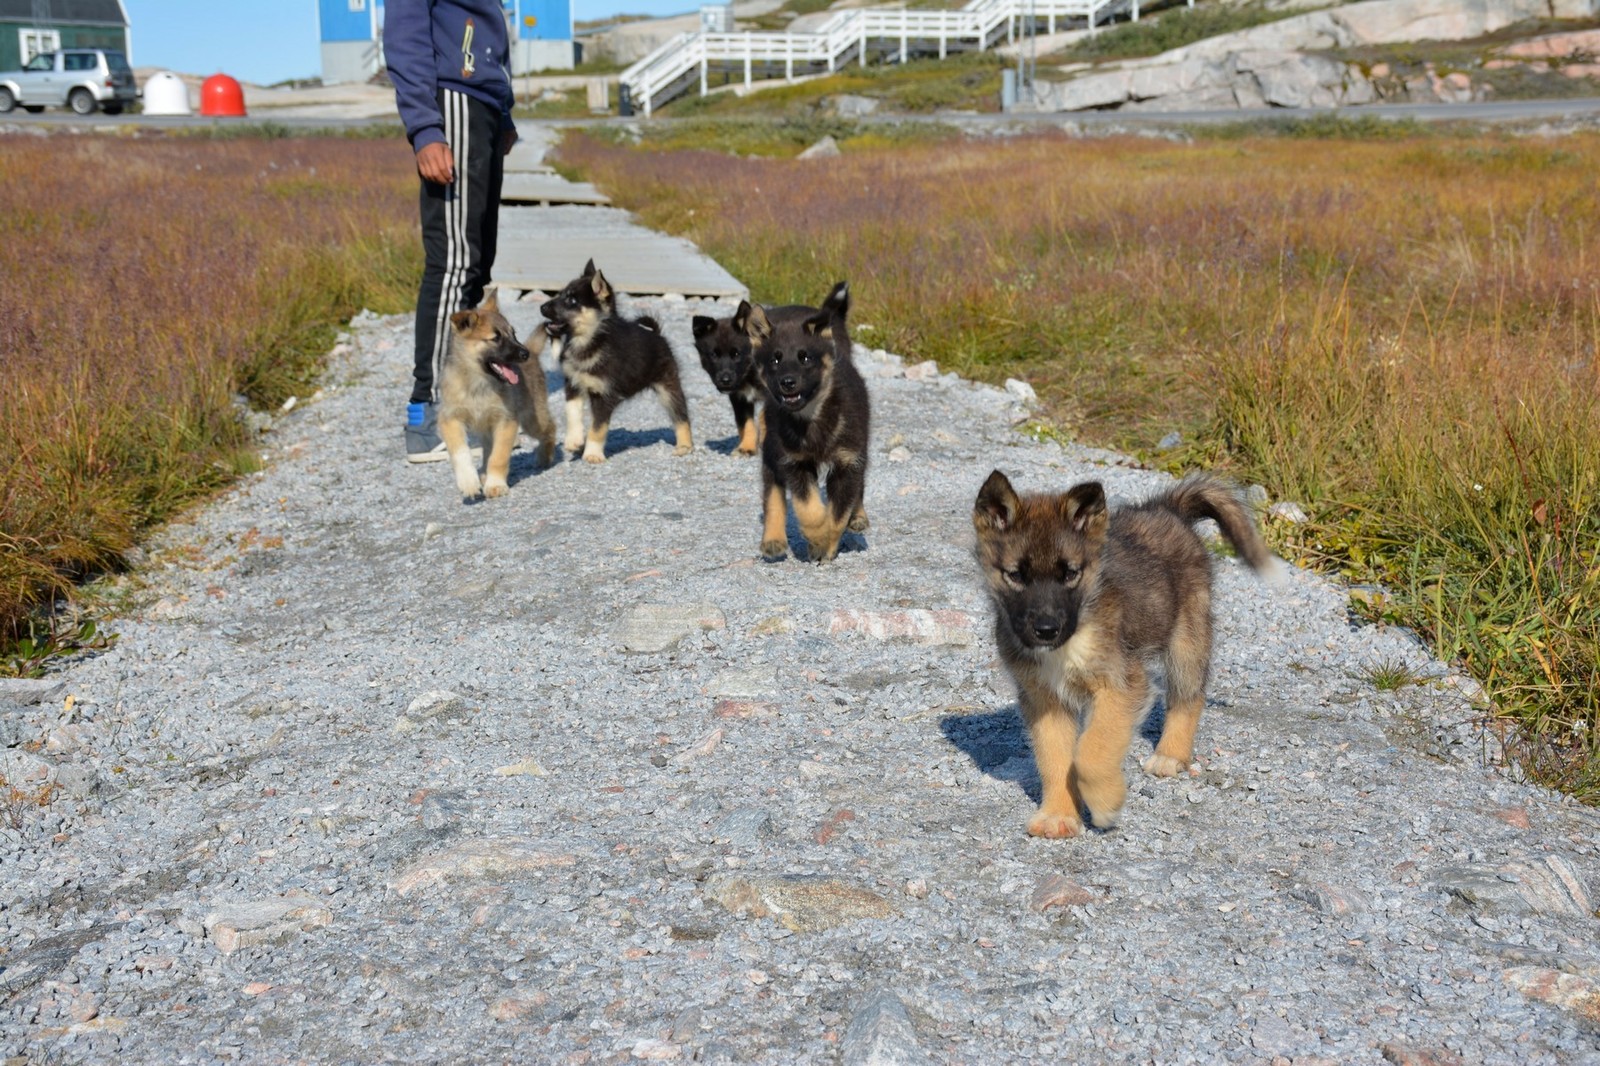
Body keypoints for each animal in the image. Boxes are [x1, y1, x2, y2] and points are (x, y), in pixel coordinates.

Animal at [441, 288, 560, 499]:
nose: (524, 354)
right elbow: (460, 453)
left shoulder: (507, 421)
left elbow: (499, 456)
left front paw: (495, 484)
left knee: (550, 428)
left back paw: (545, 457)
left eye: (513, 333)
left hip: (531, 420)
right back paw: (483, 474)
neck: (478, 384)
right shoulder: (450, 419)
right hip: (490, 429)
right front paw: (469, 482)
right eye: (495, 338)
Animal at [540, 257, 691, 460]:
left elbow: (597, 428)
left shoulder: (604, 395)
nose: (542, 307)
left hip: (668, 387)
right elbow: (571, 413)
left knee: (681, 416)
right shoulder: (572, 384)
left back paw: (685, 446)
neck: (589, 342)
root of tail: (657, 335)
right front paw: (574, 440)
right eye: (561, 294)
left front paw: (592, 454)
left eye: (571, 300)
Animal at [739, 280, 870, 563]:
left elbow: (838, 514)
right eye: (775, 359)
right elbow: (808, 507)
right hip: (771, 449)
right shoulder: (794, 462)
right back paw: (773, 540)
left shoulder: (847, 462)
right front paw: (817, 536)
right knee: (773, 494)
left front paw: (827, 544)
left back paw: (859, 516)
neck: (812, 418)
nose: (788, 382)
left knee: (859, 487)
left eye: (805, 357)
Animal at [972, 473, 1273, 838]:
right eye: (1015, 575)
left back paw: (1170, 755)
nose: (1046, 630)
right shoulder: (1044, 700)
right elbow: (1055, 759)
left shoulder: (1123, 684)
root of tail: (1165, 508)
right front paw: (1058, 816)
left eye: (1070, 574)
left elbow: (1092, 750)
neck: (1073, 639)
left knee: (1189, 695)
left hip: (1187, 638)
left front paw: (1105, 802)